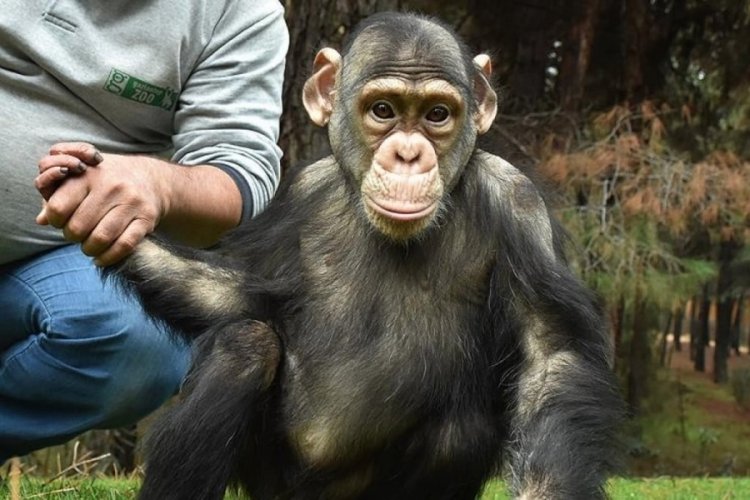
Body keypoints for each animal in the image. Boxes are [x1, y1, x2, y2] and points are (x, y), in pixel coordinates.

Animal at [113, 10, 628, 500]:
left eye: (437, 115)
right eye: (383, 110)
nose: (408, 154)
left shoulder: (518, 205)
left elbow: (551, 356)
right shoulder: (299, 193)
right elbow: (241, 296)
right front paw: (112, 214)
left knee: (461, 431)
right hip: (270, 484)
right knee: (244, 346)